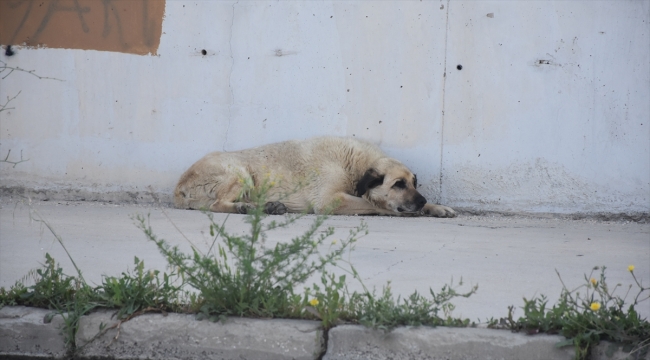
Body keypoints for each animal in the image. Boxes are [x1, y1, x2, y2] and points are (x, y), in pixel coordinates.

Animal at [175, 136, 454, 217]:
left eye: (414, 183)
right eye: (398, 184)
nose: (420, 200)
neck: (354, 164)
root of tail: (179, 187)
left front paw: (436, 207)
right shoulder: (331, 201)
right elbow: (376, 204)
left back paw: (268, 206)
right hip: (239, 172)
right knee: (216, 204)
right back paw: (246, 207)